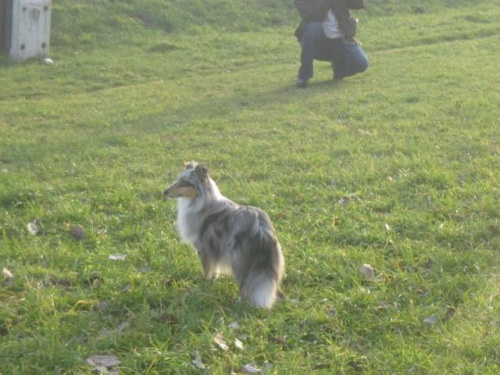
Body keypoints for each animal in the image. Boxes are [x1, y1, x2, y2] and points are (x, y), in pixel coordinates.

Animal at [162, 162, 284, 308]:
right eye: (178, 180)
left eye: (184, 183)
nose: (164, 192)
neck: (202, 202)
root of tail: (260, 228)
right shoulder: (215, 249)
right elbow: (215, 269)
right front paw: (213, 280)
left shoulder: (204, 249)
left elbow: (207, 269)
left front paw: (204, 285)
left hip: (239, 261)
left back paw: (241, 302)